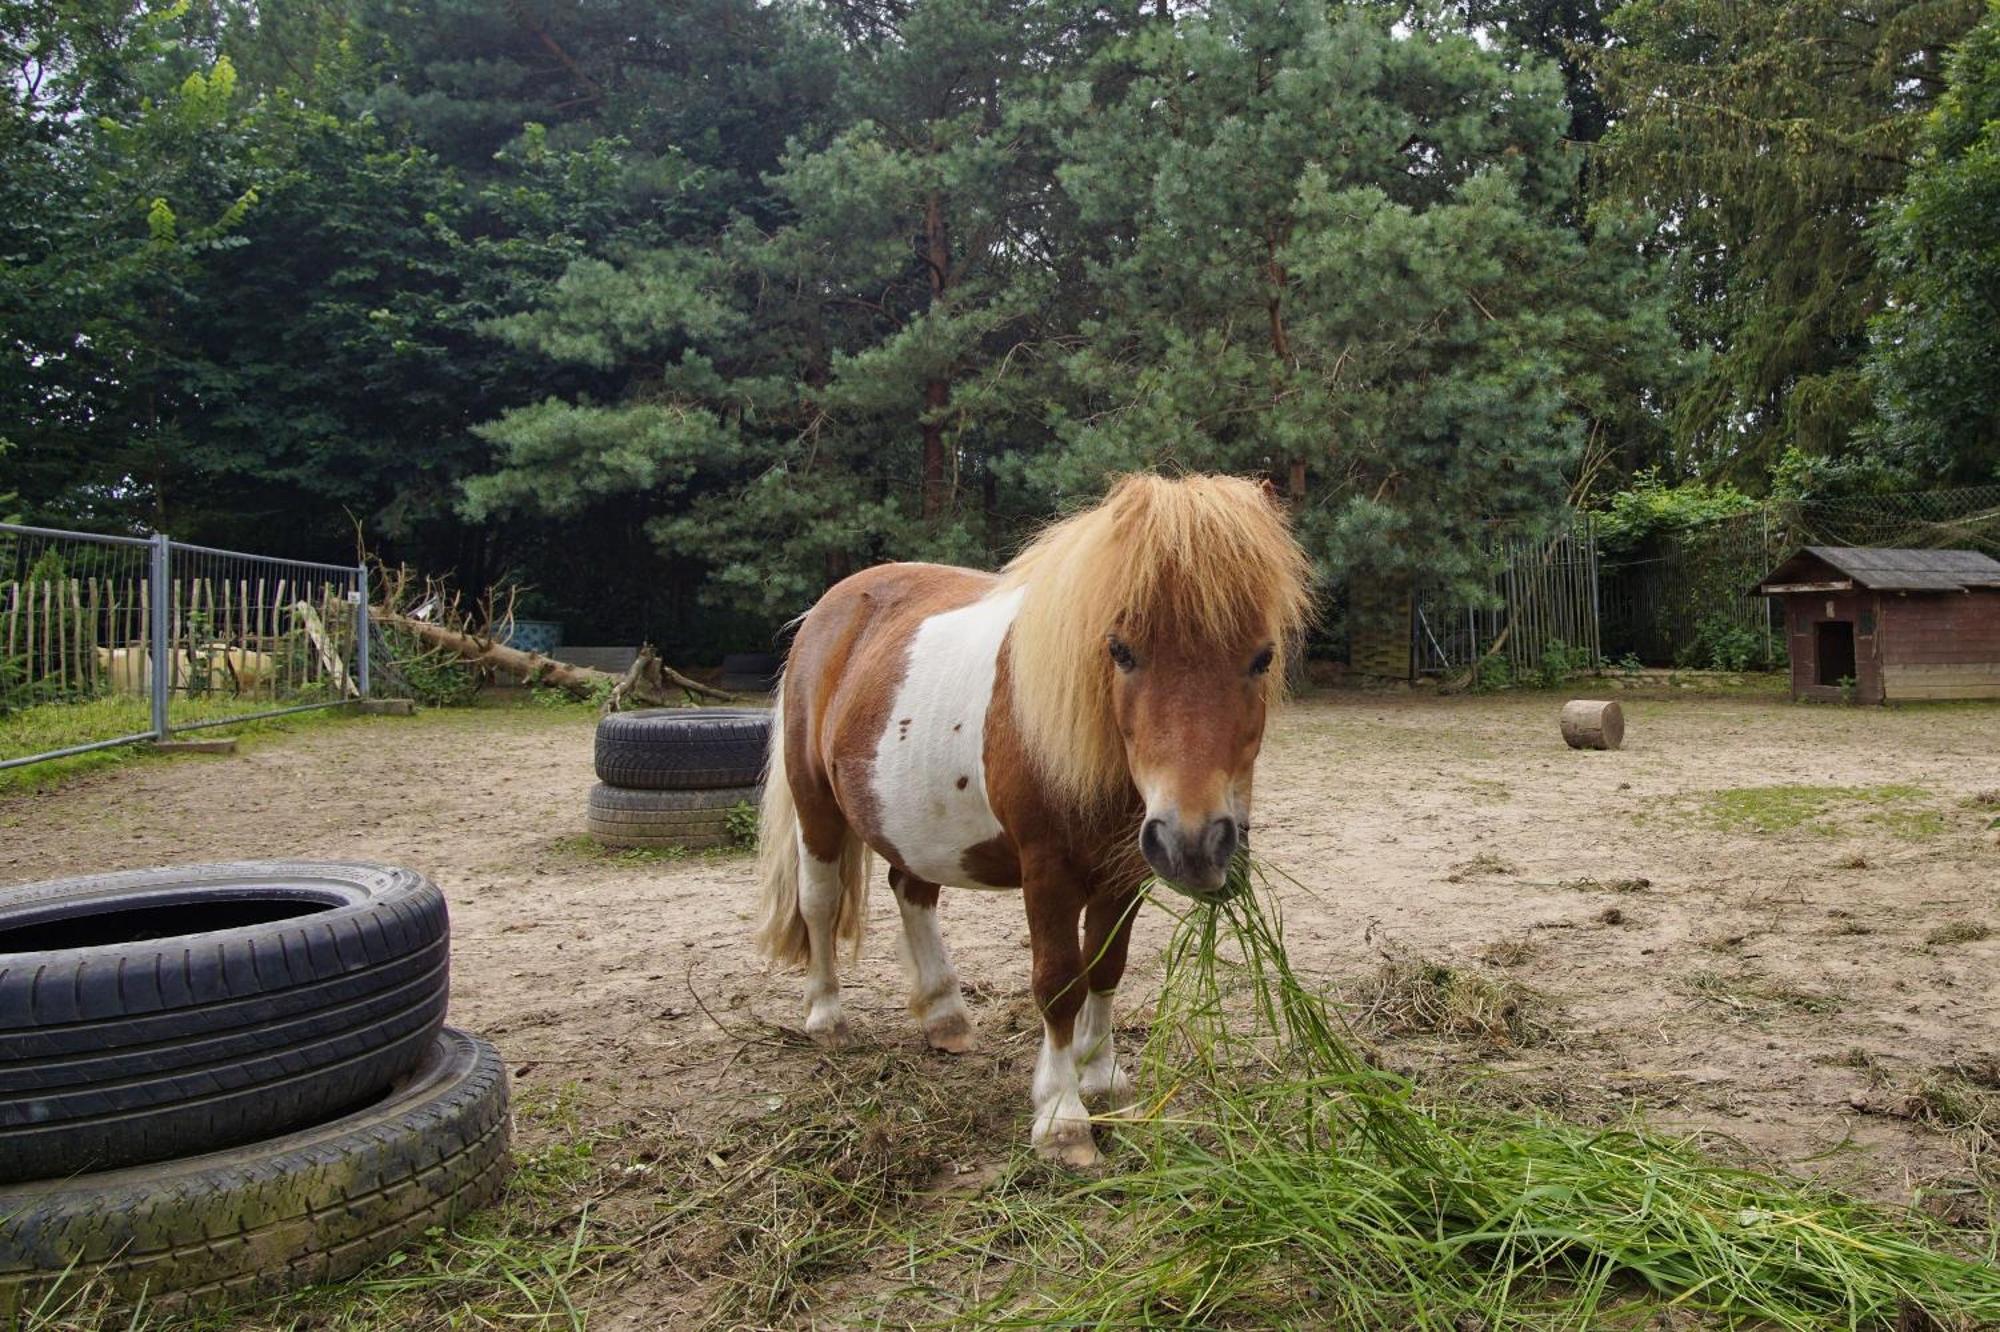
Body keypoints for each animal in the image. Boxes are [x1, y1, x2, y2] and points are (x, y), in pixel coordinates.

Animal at [752, 472, 1312, 1160]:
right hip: (818, 810)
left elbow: (1106, 968)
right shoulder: (1048, 872)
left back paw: (945, 1016)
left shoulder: (1124, 875)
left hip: (919, 827)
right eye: (1120, 651)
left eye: (1262, 658)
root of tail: (829, 611)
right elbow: (1058, 981)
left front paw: (1104, 1080)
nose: (1194, 844)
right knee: (820, 904)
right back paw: (827, 1017)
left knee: (911, 891)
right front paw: (1062, 1116)